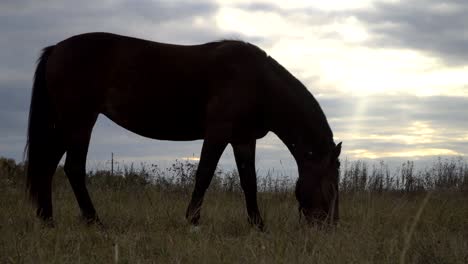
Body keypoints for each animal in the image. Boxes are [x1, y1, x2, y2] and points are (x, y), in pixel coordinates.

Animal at [24, 32, 340, 229]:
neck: (258, 81)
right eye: (331, 184)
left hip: (66, 125)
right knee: (74, 168)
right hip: (80, 121)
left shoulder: (243, 139)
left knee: (47, 166)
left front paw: (258, 226)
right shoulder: (218, 132)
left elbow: (248, 182)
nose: (330, 226)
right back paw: (95, 222)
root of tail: (56, 49)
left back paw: (48, 220)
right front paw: (192, 221)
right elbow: (204, 175)